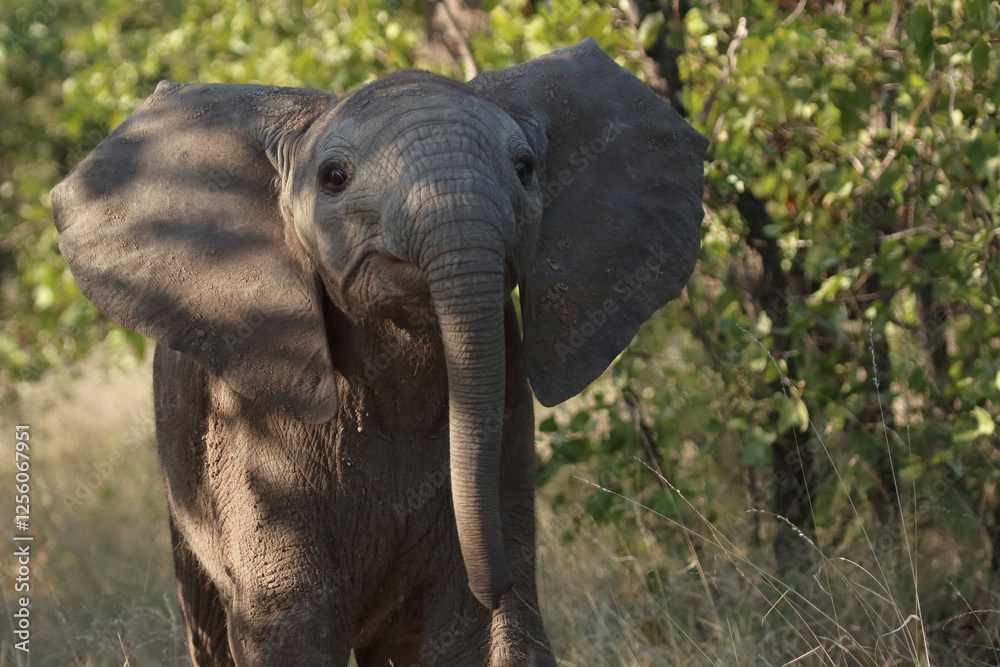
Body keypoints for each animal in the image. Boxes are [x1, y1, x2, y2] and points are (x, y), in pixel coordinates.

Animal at [51, 38, 706, 666]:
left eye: (524, 169)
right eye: (334, 177)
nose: (494, 582)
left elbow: (477, 632)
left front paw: (488, 609)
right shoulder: (250, 437)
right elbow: (294, 624)